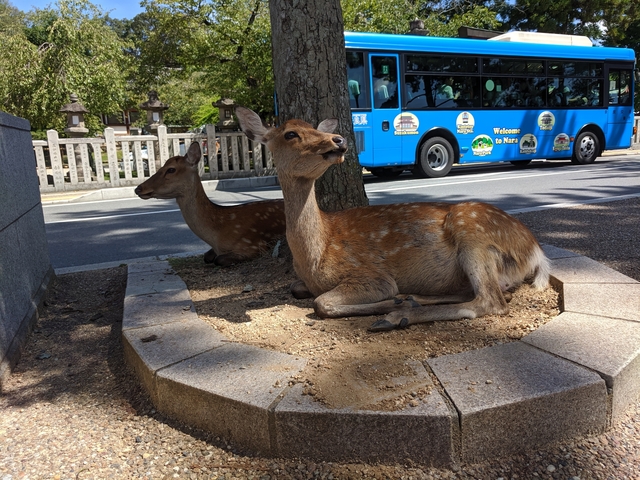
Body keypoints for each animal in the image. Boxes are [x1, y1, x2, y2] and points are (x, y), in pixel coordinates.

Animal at [134, 141, 286, 267]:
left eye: (171, 169)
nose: (138, 188)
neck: (217, 236)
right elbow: (206, 256)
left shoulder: (255, 245)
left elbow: (219, 259)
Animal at [235, 106, 550, 331]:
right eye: (290, 134)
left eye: (314, 127)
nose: (339, 140)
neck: (315, 255)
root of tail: (536, 252)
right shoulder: (304, 281)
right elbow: (297, 288)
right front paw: (399, 300)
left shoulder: (371, 275)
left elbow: (321, 303)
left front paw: (389, 303)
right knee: (484, 293)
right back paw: (411, 300)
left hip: (474, 234)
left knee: (491, 301)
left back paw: (397, 314)